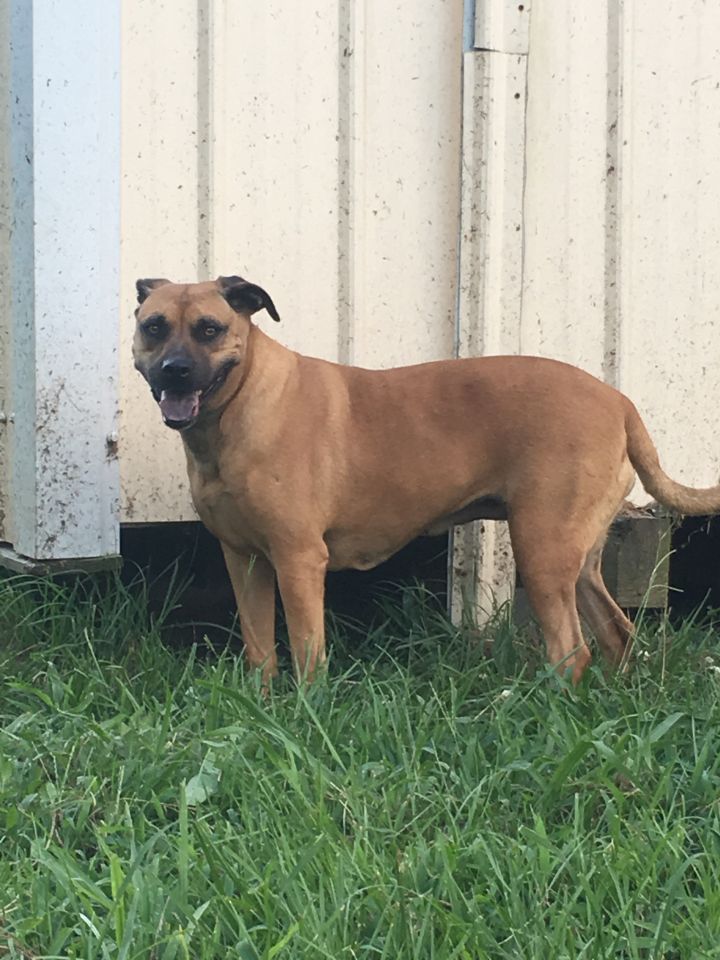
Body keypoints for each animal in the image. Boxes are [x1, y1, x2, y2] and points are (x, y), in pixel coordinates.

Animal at [131, 276, 720, 684]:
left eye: (210, 329)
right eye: (153, 326)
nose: (174, 371)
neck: (238, 407)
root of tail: (618, 400)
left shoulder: (299, 562)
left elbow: (306, 654)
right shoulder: (244, 559)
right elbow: (260, 650)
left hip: (543, 552)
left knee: (572, 653)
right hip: (578, 559)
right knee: (618, 632)